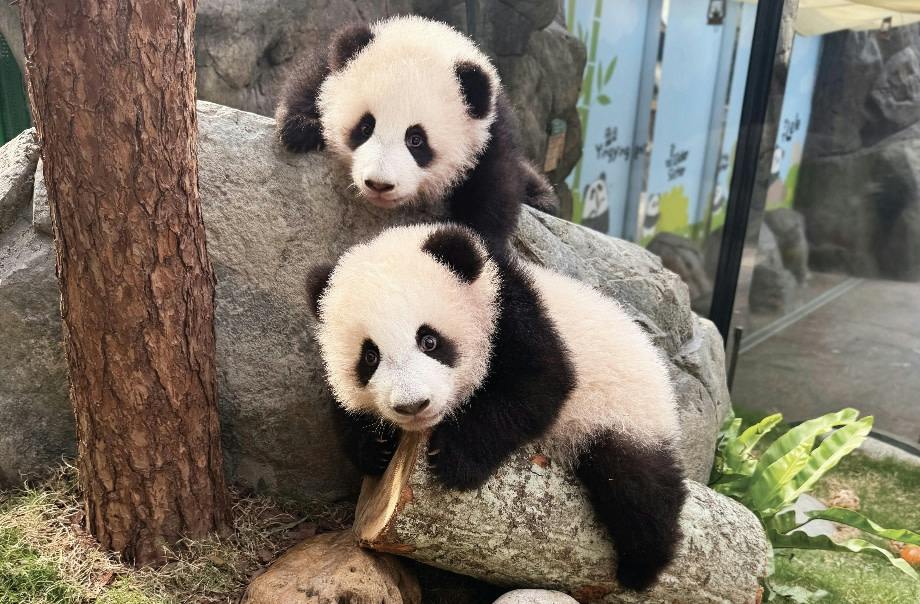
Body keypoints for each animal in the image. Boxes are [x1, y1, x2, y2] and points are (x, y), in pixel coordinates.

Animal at [275, 15, 555, 253]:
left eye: (416, 140)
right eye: (365, 127)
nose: (379, 184)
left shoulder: (490, 131)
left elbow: (495, 190)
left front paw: (476, 243)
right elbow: (310, 82)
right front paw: (300, 128)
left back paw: (542, 197)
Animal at [306, 223, 688, 591]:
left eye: (429, 341)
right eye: (369, 357)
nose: (413, 405)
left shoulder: (513, 316)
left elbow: (536, 385)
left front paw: (454, 459)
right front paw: (376, 448)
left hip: (623, 411)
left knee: (636, 485)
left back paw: (642, 566)